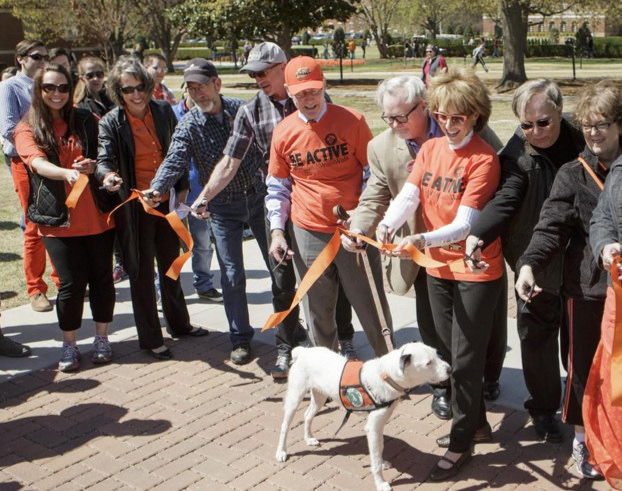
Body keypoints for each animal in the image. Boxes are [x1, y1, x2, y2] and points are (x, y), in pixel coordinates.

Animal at [276, 344, 450, 490]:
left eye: (437, 354)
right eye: (428, 363)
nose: (449, 369)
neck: (385, 375)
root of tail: (303, 352)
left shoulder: (380, 424)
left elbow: (379, 450)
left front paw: (383, 463)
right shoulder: (372, 428)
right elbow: (375, 459)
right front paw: (380, 483)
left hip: (319, 397)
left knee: (307, 415)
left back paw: (309, 438)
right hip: (295, 397)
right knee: (284, 426)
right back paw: (281, 452)